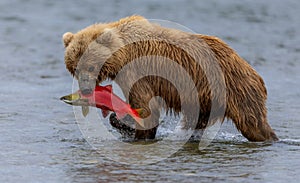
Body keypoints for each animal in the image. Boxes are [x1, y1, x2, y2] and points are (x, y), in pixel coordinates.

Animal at [62, 15, 278, 142]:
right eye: (74, 69)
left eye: (91, 66)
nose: (86, 89)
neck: (122, 52)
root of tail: (251, 69)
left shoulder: (137, 70)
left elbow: (146, 107)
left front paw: (133, 128)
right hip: (203, 97)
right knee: (196, 121)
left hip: (235, 88)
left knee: (252, 122)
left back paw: (269, 137)